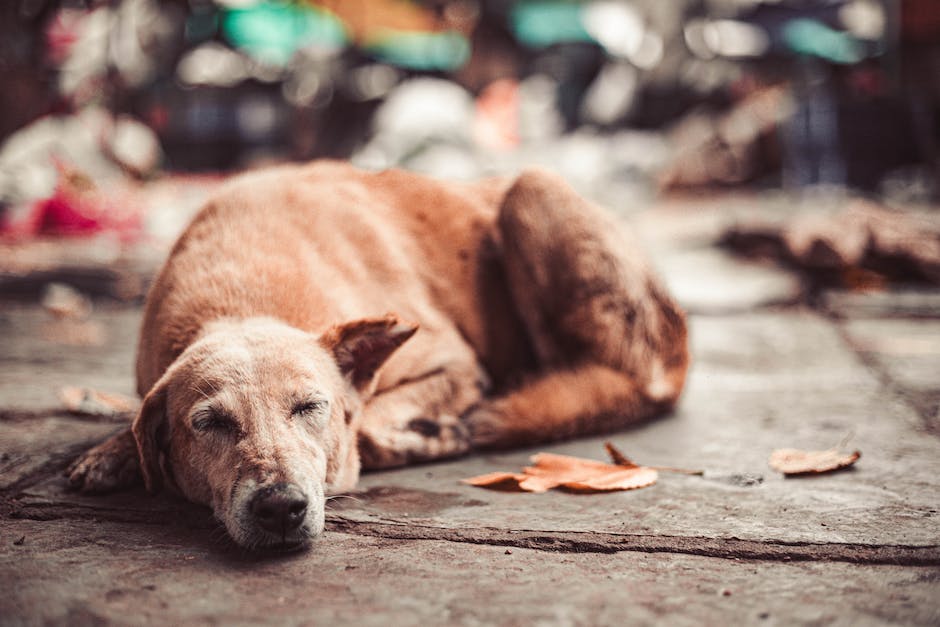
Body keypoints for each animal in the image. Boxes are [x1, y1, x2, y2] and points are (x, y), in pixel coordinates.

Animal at [66, 164, 688, 552]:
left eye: (309, 407)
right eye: (209, 423)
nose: (280, 508)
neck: (241, 299)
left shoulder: (453, 361)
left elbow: (365, 429)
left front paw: (428, 435)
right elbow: (135, 421)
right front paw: (113, 451)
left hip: (532, 192)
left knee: (619, 381)